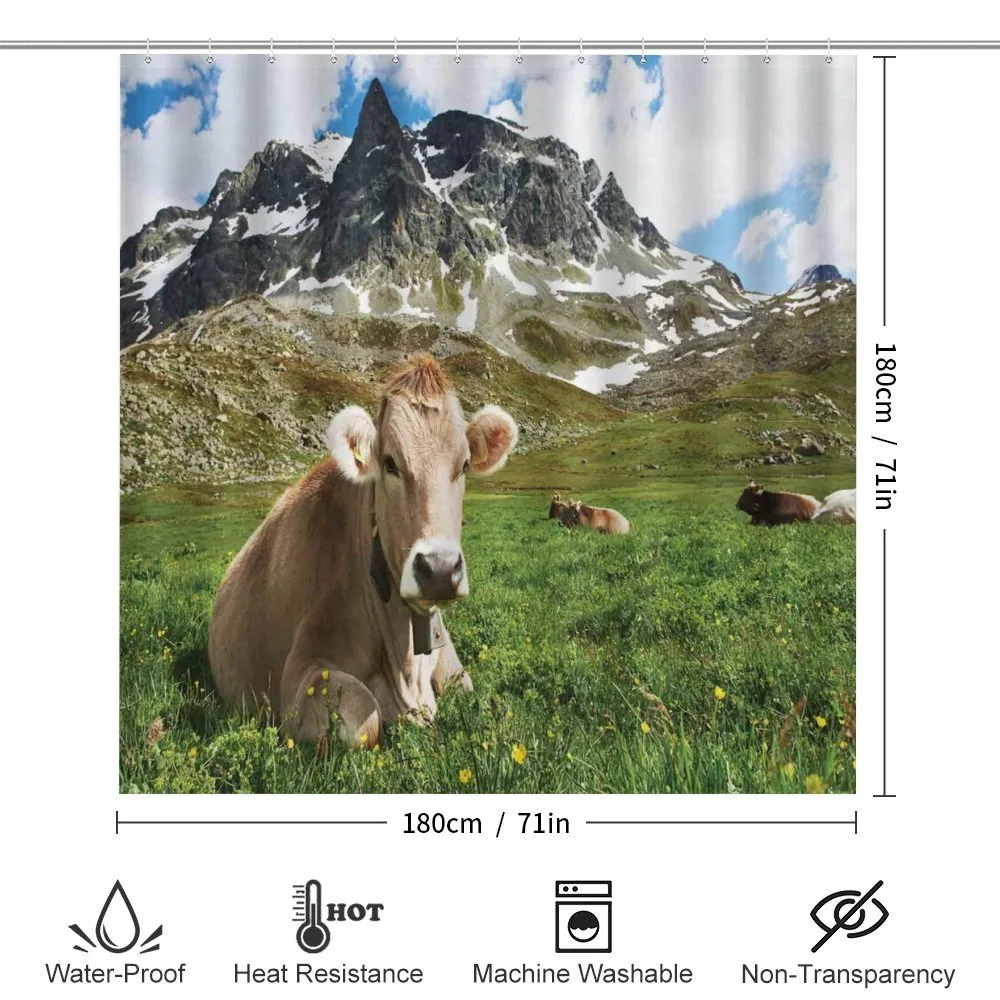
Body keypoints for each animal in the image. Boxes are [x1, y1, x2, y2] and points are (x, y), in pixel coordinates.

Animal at [208, 356, 518, 749]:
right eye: (389, 463)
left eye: (463, 464)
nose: (439, 569)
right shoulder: (299, 676)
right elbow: (365, 718)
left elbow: (469, 687)